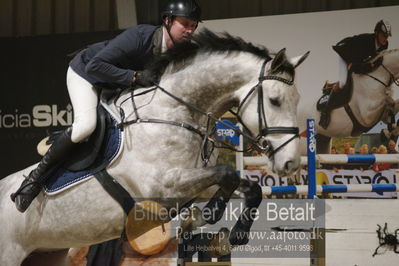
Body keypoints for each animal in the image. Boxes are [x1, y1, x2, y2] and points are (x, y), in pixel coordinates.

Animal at [0, 28, 310, 264]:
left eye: (296, 100)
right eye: (274, 101)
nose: (291, 163)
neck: (174, 112)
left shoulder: (192, 182)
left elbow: (246, 185)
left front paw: (227, 228)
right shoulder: (162, 188)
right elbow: (227, 173)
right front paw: (207, 216)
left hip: (48, 254)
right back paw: (25, 193)